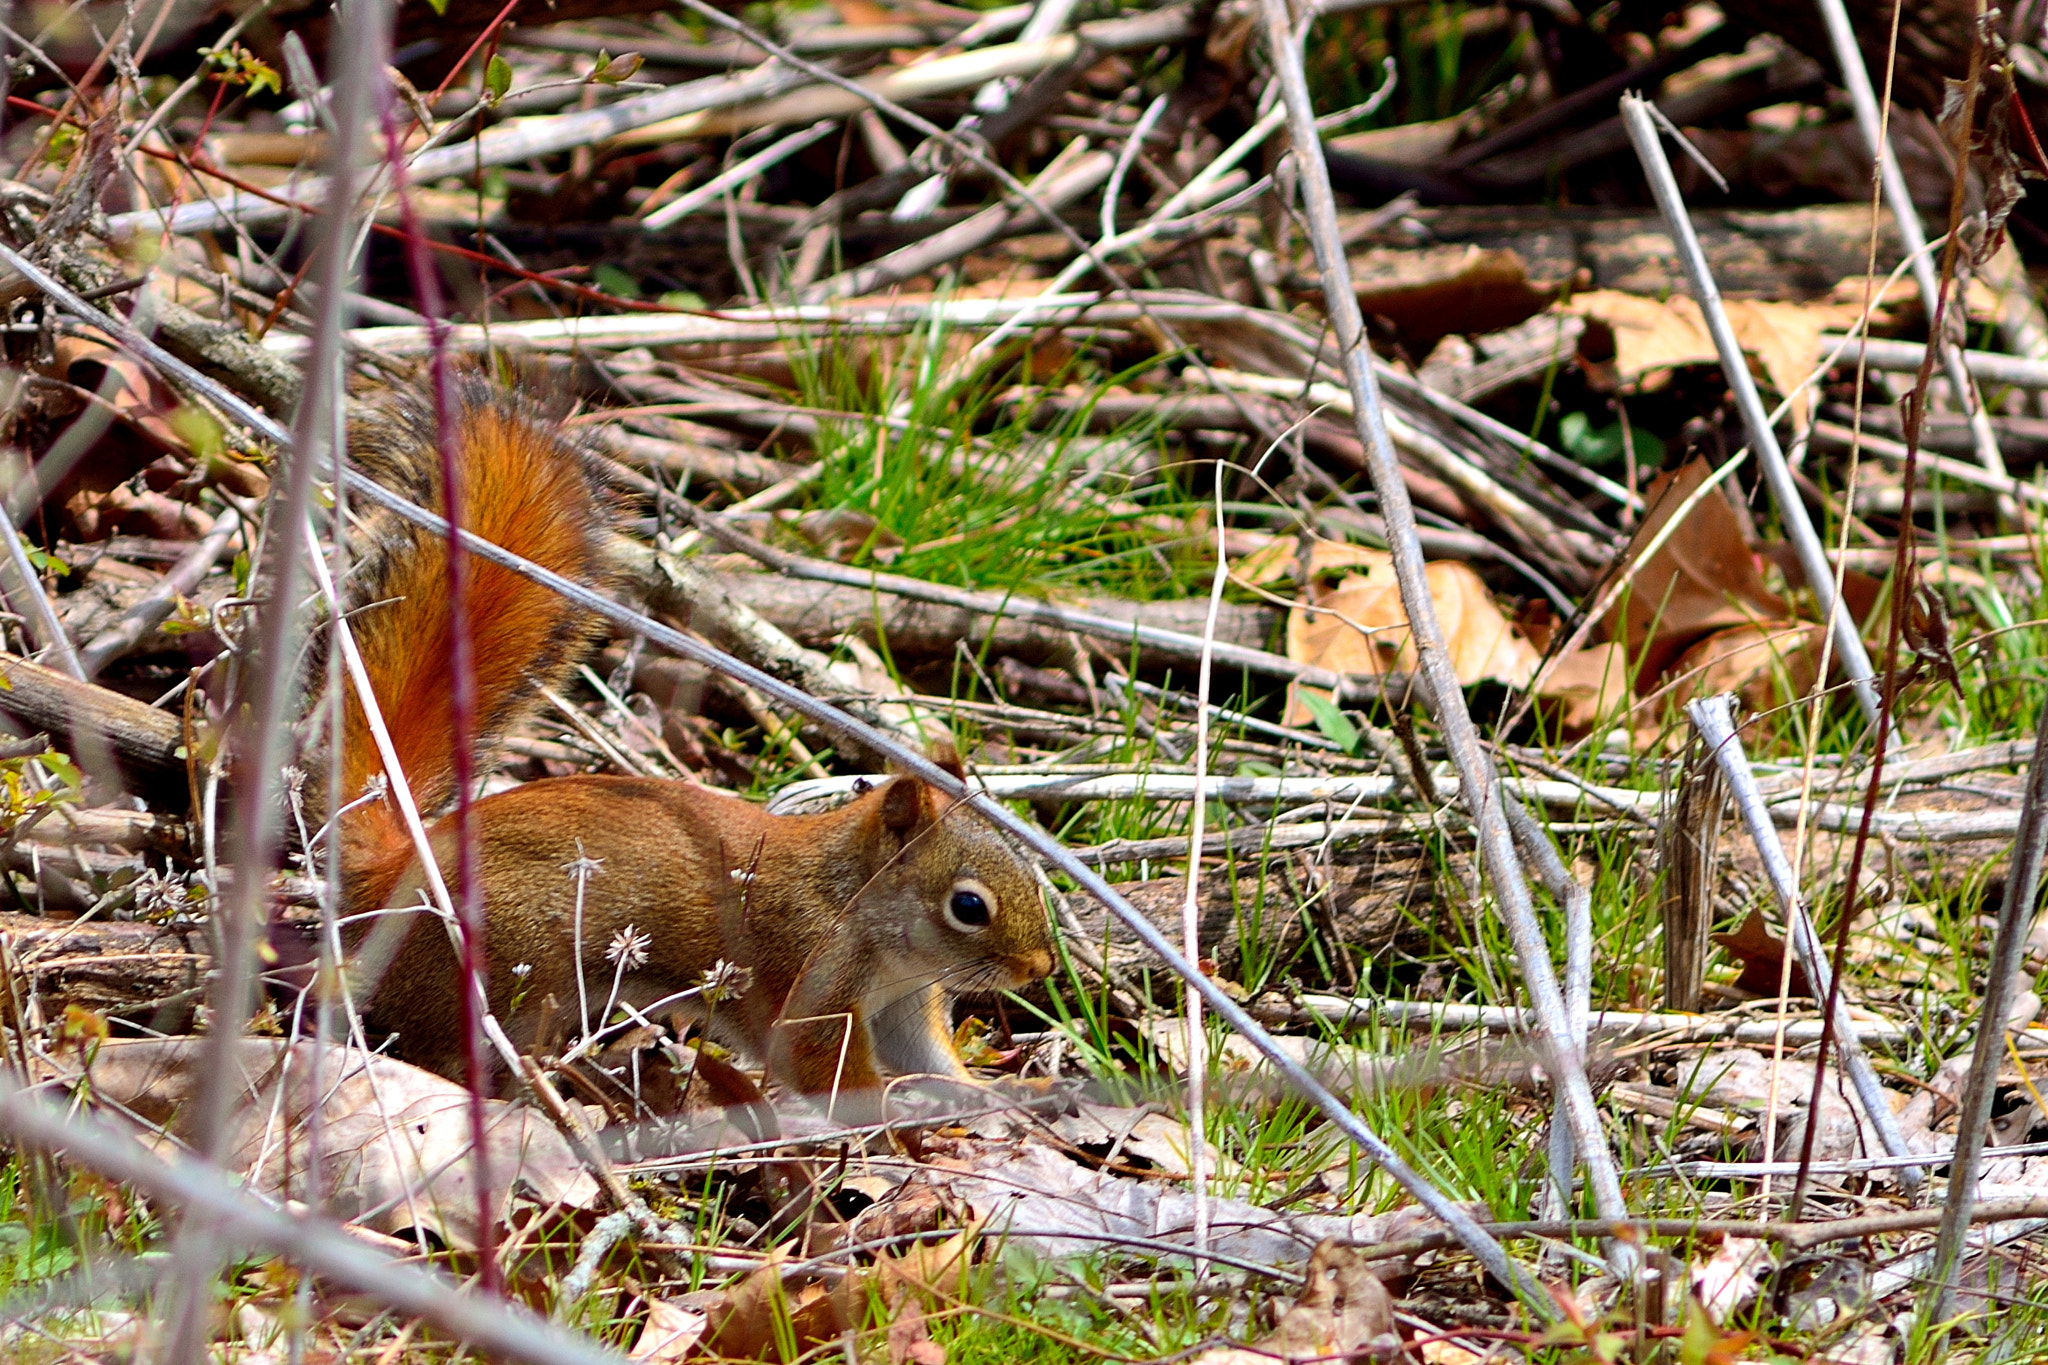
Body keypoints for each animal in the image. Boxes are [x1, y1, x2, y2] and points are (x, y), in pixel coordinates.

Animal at [327, 382, 1056, 1096]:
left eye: (1029, 870)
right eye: (968, 906)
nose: (1041, 967)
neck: (853, 902)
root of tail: (390, 869)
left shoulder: (904, 1004)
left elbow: (932, 1060)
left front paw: (1002, 1097)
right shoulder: (806, 974)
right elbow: (826, 1071)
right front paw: (895, 1106)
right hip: (497, 965)